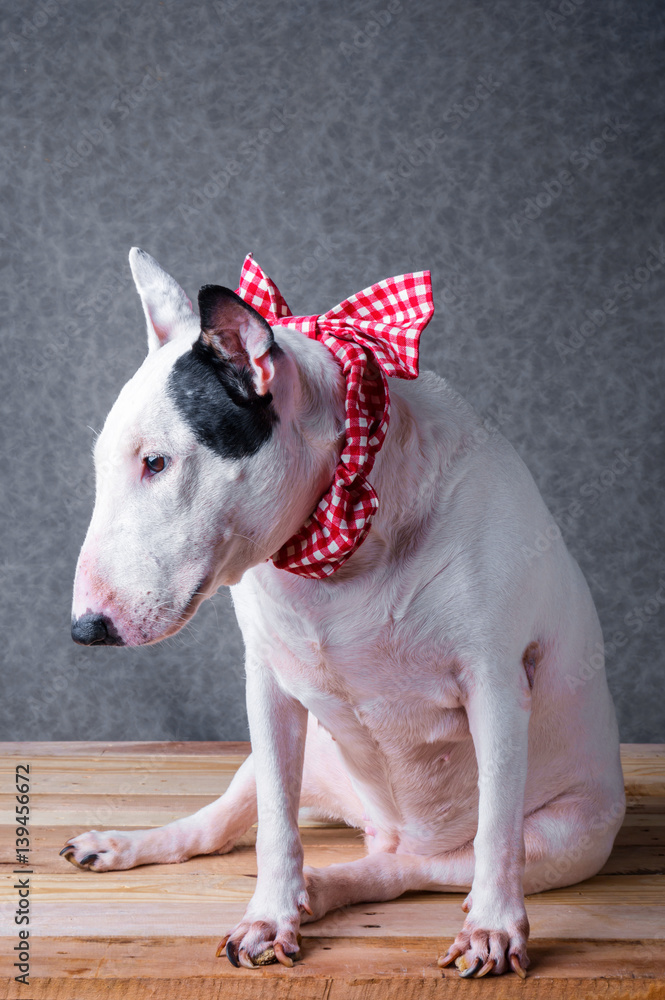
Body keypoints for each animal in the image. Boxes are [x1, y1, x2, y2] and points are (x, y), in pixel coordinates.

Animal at [65, 248, 624, 976]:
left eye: (156, 462)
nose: (85, 629)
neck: (331, 551)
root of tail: (387, 826)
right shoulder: (268, 689)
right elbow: (275, 826)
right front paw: (268, 916)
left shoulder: (498, 686)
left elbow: (496, 835)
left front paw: (495, 930)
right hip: (302, 762)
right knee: (224, 823)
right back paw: (134, 847)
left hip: (566, 838)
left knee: (420, 867)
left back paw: (338, 891)